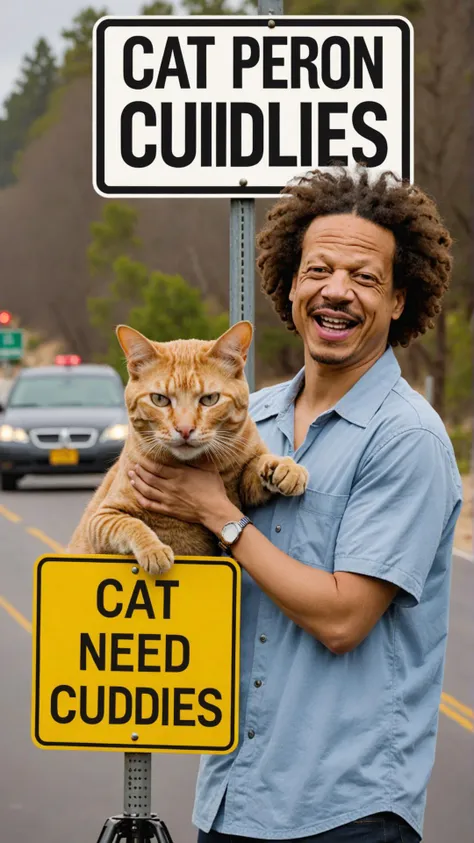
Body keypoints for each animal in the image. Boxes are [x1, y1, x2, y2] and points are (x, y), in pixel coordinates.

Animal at [69, 320, 308, 576]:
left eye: (210, 399)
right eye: (160, 399)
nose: (184, 429)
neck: (203, 463)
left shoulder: (243, 489)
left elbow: (258, 462)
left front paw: (286, 468)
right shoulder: (103, 517)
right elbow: (132, 524)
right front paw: (154, 550)